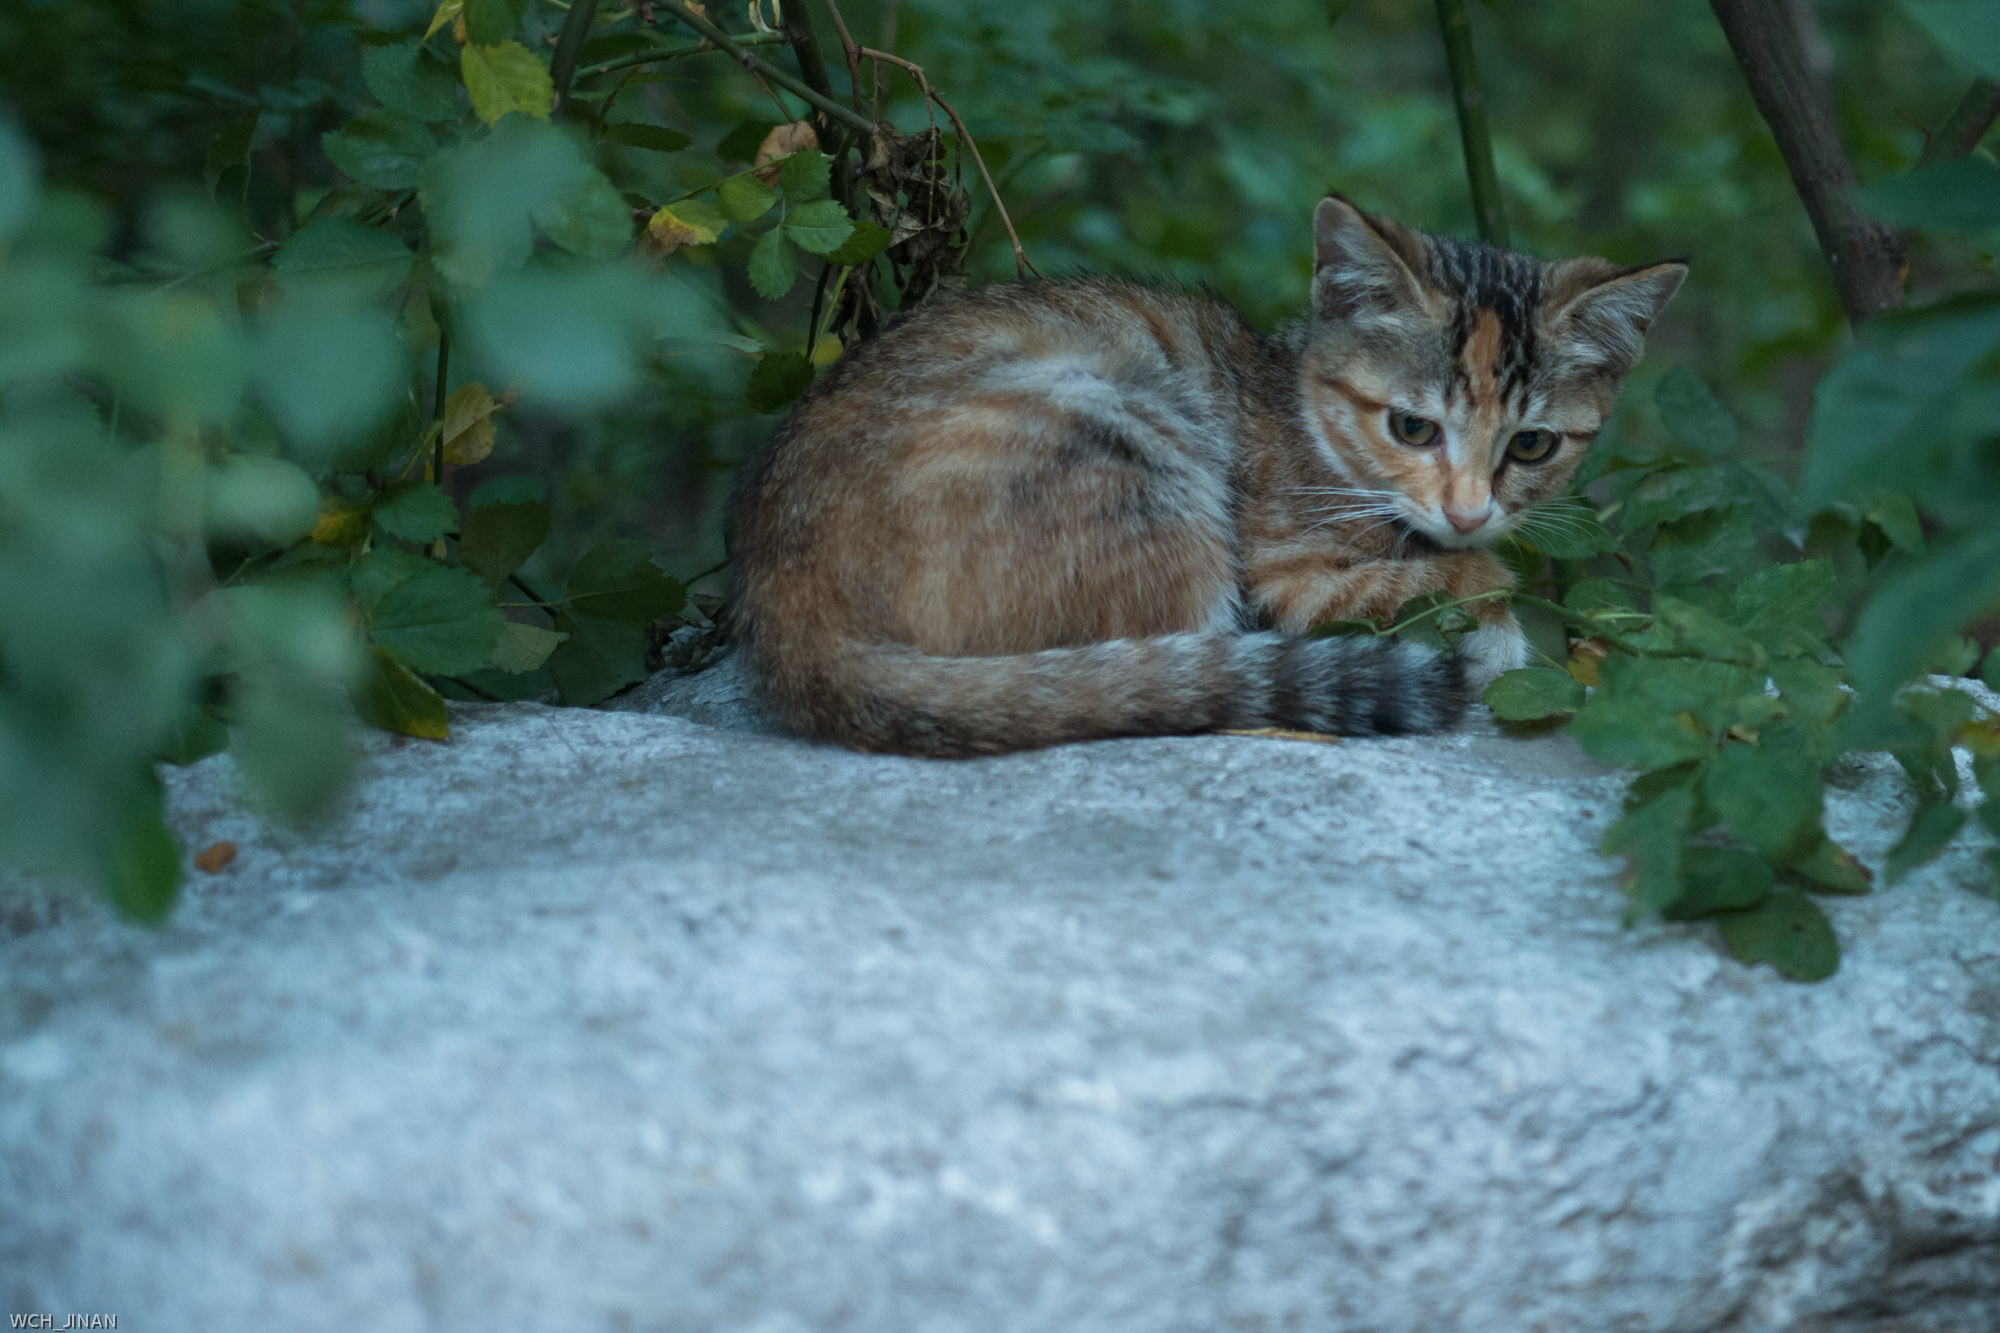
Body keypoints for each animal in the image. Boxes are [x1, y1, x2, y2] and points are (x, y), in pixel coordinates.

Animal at [728, 197, 1680, 756]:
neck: (1304, 413)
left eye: (1532, 446)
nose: (1471, 510)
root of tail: (787, 613)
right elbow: (1461, 579)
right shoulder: (1286, 578)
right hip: (1124, 431)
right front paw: (1495, 618)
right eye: (1412, 428)